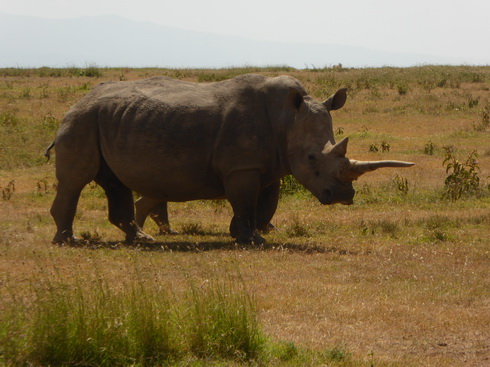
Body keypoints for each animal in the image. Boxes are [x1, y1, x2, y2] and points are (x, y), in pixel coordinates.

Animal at [47, 74, 414, 244]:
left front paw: (243, 235)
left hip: (107, 120)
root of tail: (77, 102)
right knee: (76, 180)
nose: (343, 196)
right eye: (311, 158)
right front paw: (253, 240)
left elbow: (263, 204)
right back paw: (69, 240)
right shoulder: (243, 166)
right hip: (82, 121)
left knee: (114, 181)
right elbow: (246, 202)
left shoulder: (267, 166)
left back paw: (141, 239)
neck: (288, 119)